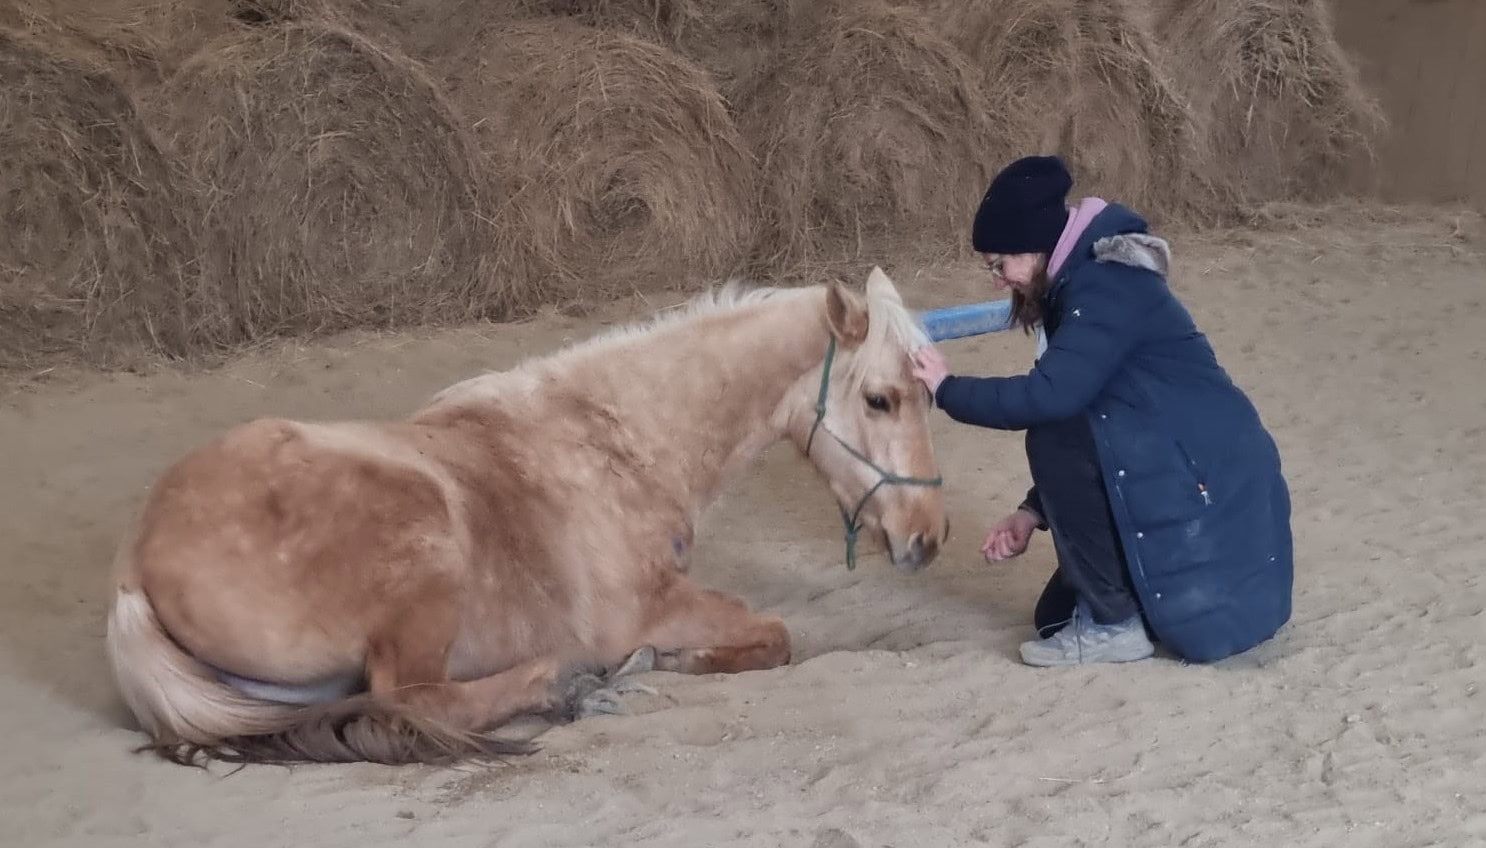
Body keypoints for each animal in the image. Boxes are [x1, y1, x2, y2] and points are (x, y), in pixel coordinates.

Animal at [101, 267, 951, 772]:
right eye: (880, 398)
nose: (929, 537)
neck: (619, 442)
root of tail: (134, 567)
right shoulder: (648, 609)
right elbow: (772, 635)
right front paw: (666, 661)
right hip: (423, 555)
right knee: (412, 701)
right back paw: (566, 684)